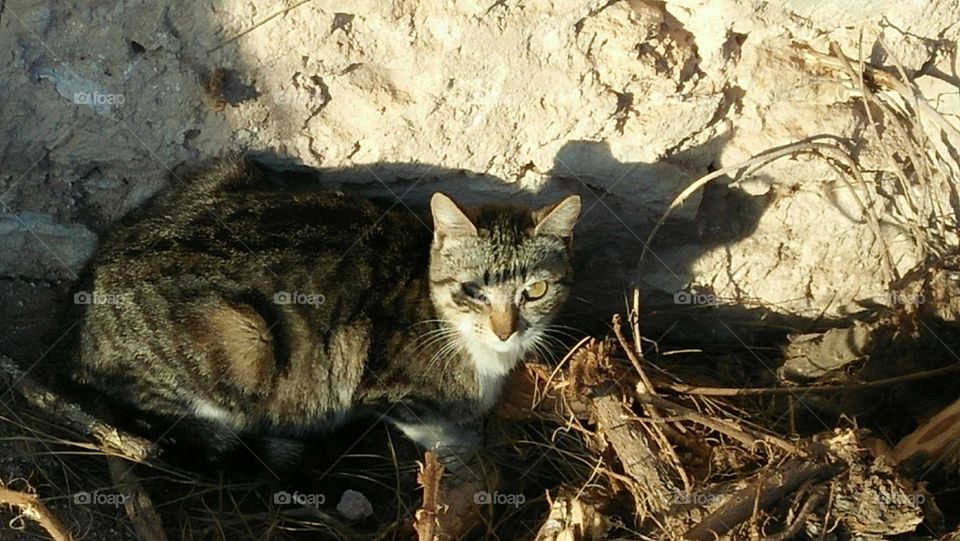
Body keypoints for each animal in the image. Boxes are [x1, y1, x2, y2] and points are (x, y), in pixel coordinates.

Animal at [65, 158, 584, 466]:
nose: (505, 331)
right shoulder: (377, 376)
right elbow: (429, 424)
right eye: (473, 290)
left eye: (535, 290)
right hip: (242, 337)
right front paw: (461, 453)